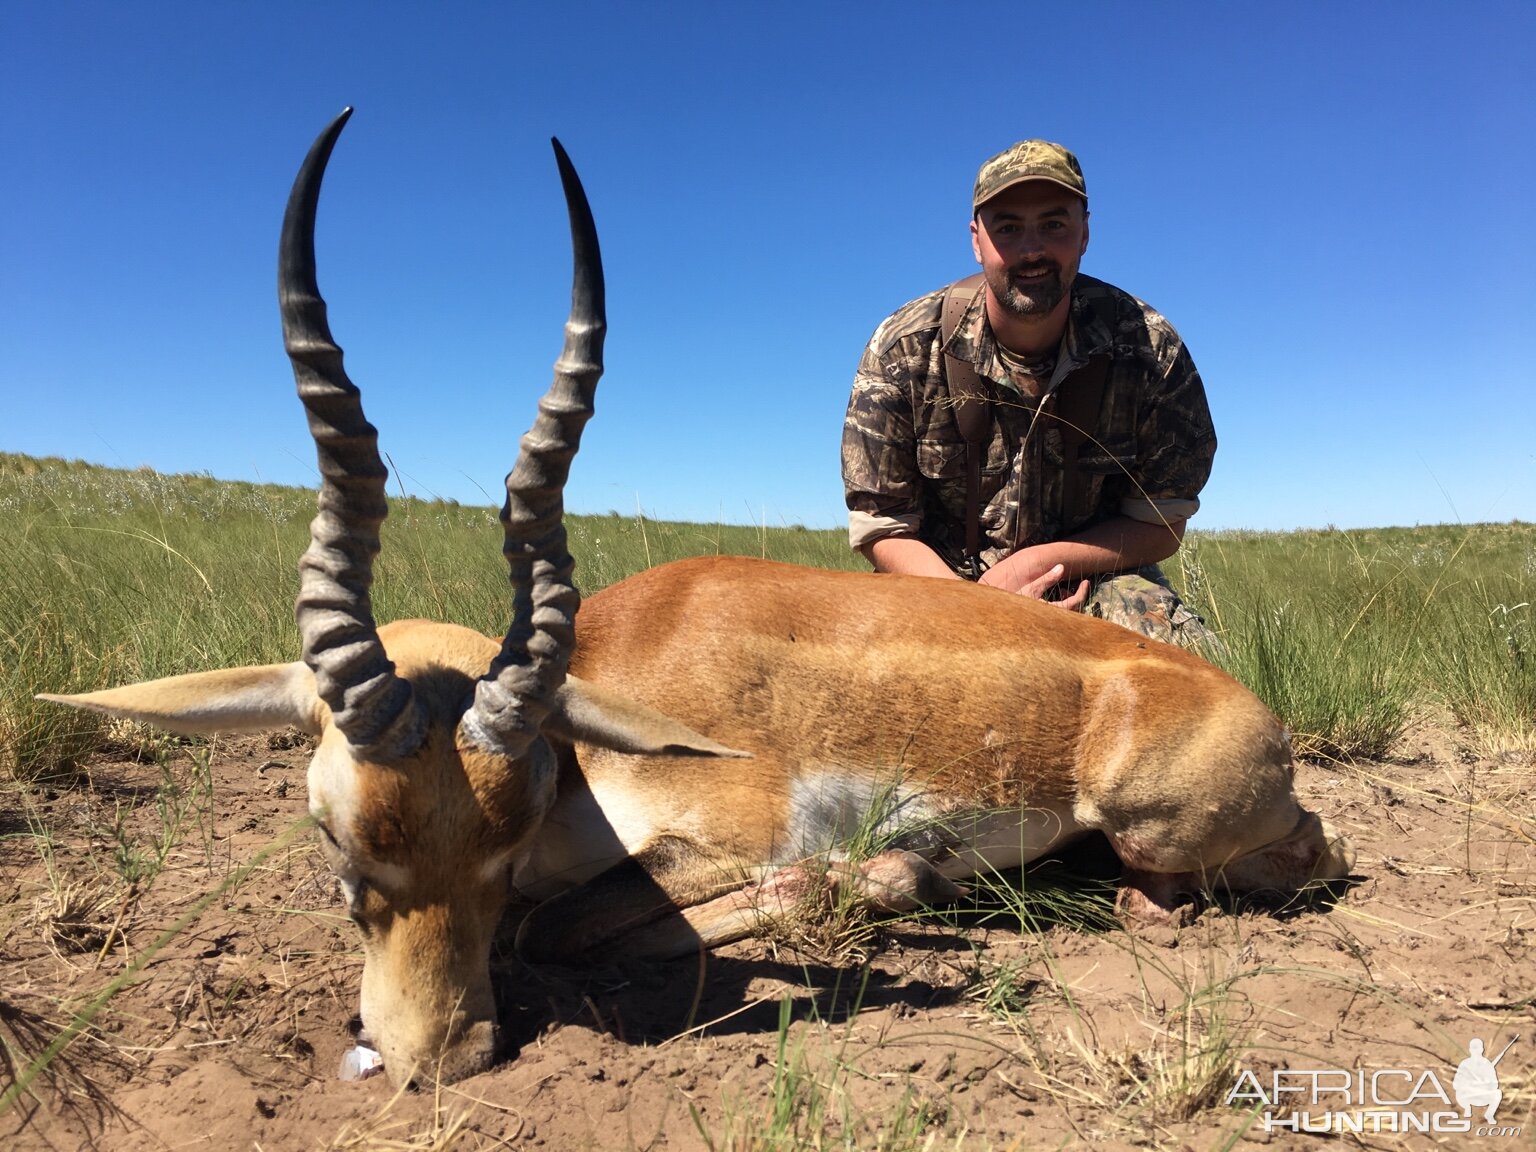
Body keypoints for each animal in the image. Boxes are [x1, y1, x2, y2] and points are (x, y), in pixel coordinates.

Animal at [42, 112, 1351, 1087]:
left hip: (1148, 822)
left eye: (503, 838)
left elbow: (569, 921)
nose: (439, 1058)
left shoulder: (736, 833)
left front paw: (884, 878)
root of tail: (1254, 714)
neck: (600, 711)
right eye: (335, 831)